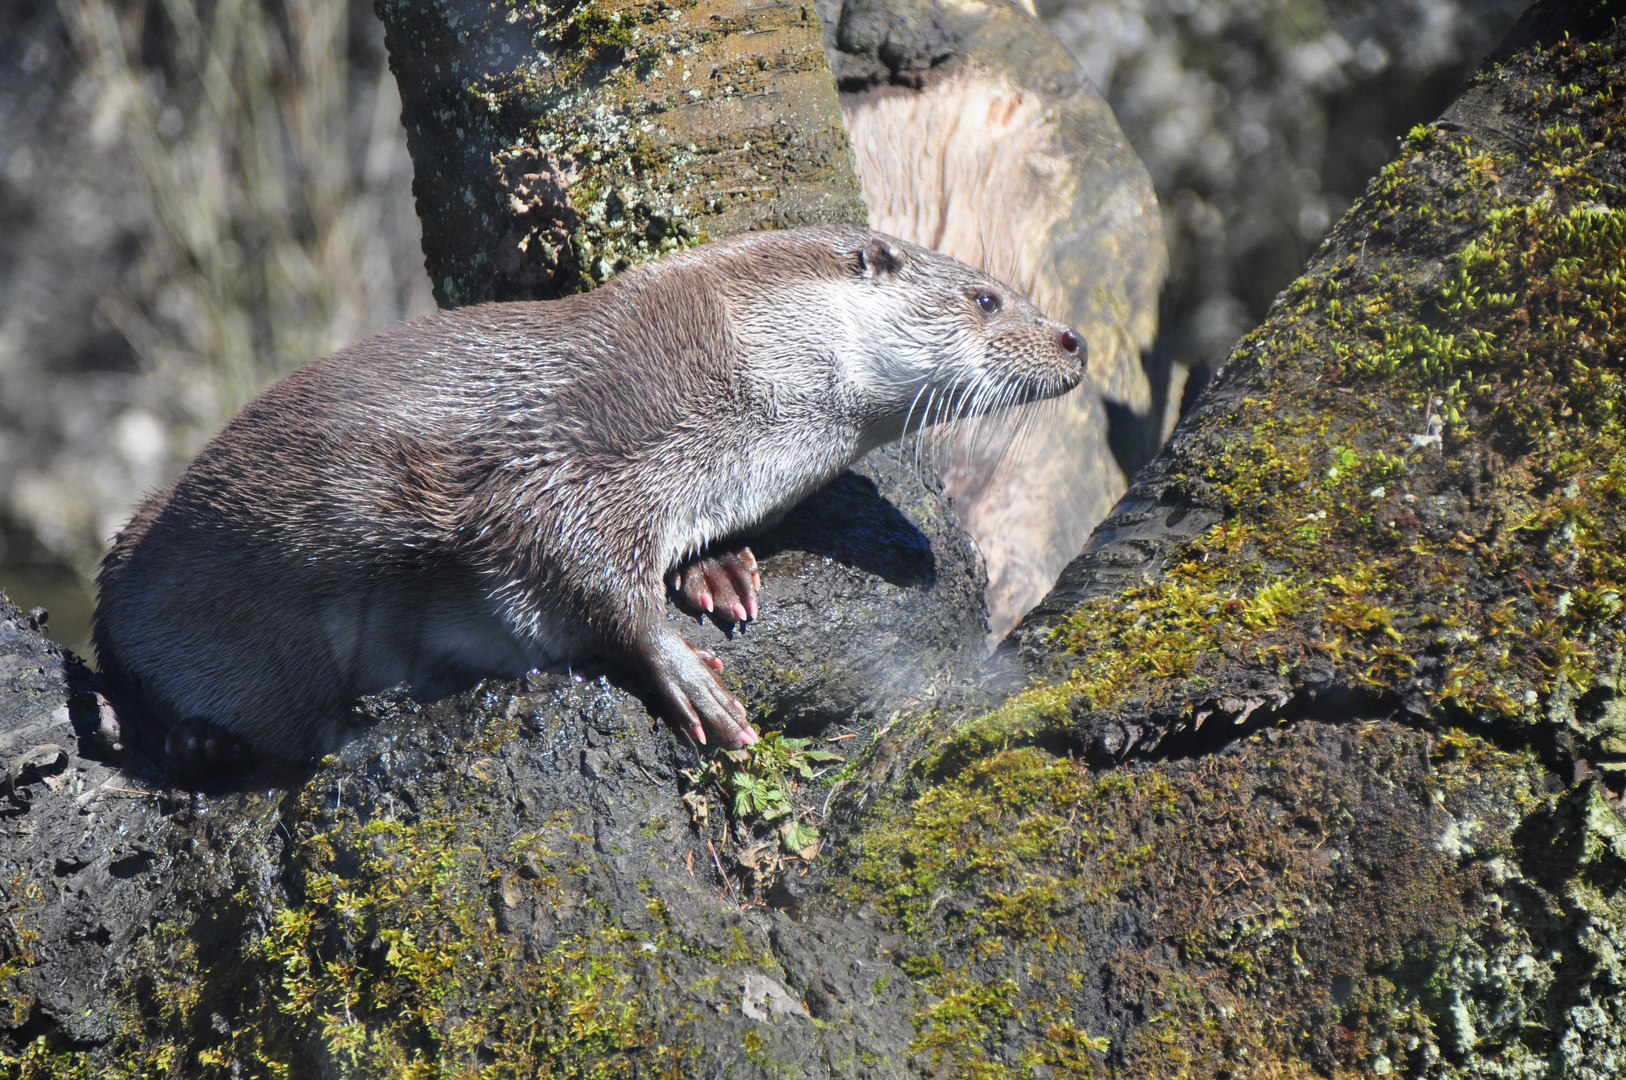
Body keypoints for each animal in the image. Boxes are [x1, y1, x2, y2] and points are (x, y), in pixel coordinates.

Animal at [89, 226, 1079, 767]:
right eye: (987, 298)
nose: (1071, 339)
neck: (721, 372)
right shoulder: (557, 459)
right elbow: (573, 569)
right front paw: (686, 672)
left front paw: (717, 569)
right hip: (134, 556)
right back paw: (200, 743)